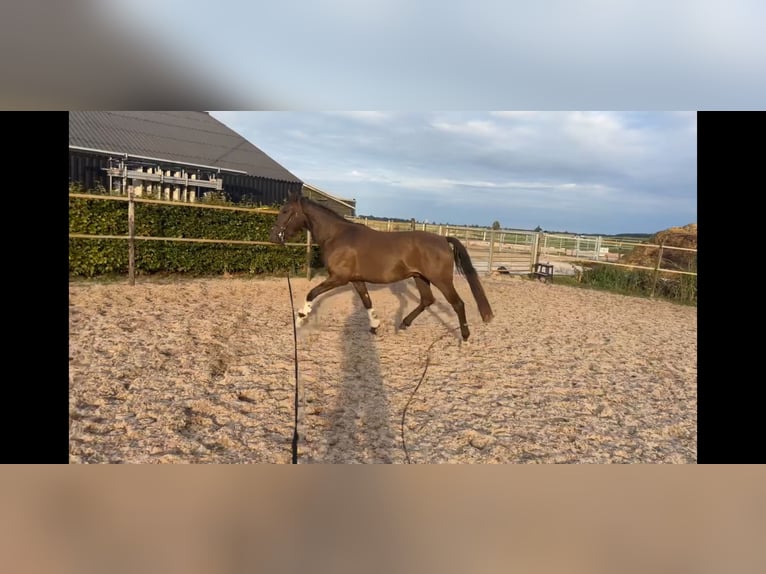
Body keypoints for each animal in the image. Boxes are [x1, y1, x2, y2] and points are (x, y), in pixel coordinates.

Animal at [272, 194, 496, 340]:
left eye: (286, 211)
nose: (274, 236)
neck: (337, 236)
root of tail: (443, 239)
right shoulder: (356, 280)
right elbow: (366, 302)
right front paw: (374, 327)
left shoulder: (338, 278)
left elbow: (311, 293)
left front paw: (300, 319)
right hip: (420, 277)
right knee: (427, 300)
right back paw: (403, 324)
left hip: (441, 279)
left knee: (457, 303)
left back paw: (465, 336)